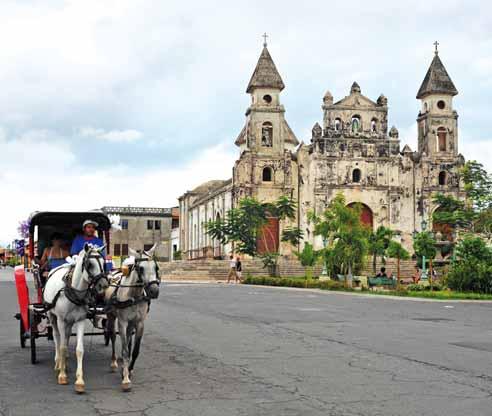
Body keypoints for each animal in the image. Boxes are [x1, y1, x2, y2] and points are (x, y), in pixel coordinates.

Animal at [42, 244, 108, 394]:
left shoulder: (80, 320)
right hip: (52, 316)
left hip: (69, 321)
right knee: (57, 337)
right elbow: (62, 346)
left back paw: (64, 362)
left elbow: (79, 349)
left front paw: (79, 380)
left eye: (103, 264)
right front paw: (62, 375)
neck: (74, 291)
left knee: (66, 337)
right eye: (90, 264)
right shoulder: (61, 320)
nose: (103, 285)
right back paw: (58, 362)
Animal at [105, 244, 160, 390]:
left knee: (129, 338)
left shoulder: (140, 323)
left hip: (131, 323)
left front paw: (129, 370)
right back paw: (114, 362)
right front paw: (125, 379)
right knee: (112, 336)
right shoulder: (122, 322)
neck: (134, 295)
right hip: (111, 317)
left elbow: (135, 350)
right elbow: (124, 350)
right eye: (141, 268)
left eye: (156, 267)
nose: (154, 291)